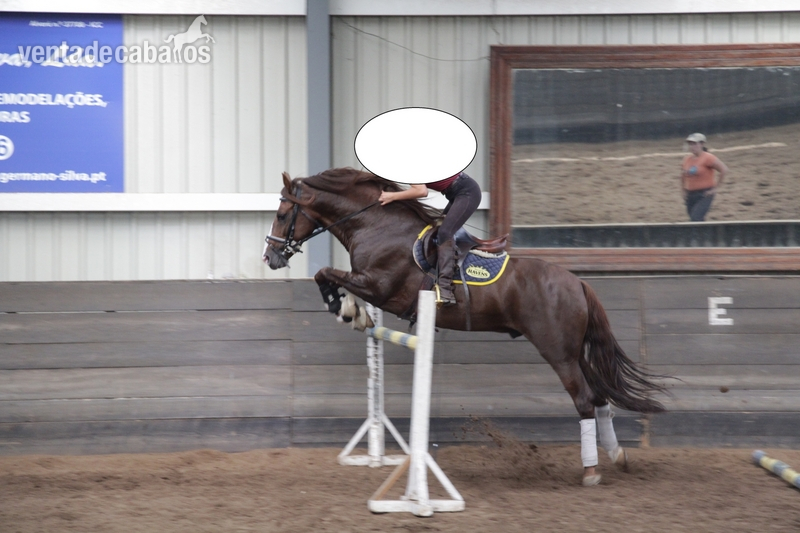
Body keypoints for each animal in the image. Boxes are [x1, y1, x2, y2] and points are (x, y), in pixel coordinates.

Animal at [263, 167, 667, 486]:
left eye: (282, 214)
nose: (270, 257)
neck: (374, 223)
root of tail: (578, 282)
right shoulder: (371, 285)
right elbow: (328, 275)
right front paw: (354, 312)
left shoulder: (379, 286)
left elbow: (325, 273)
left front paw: (346, 309)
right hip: (574, 351)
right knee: (599, 399)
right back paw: (617, 457)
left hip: (558, 352)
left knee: (584, 400)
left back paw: (591, 471)